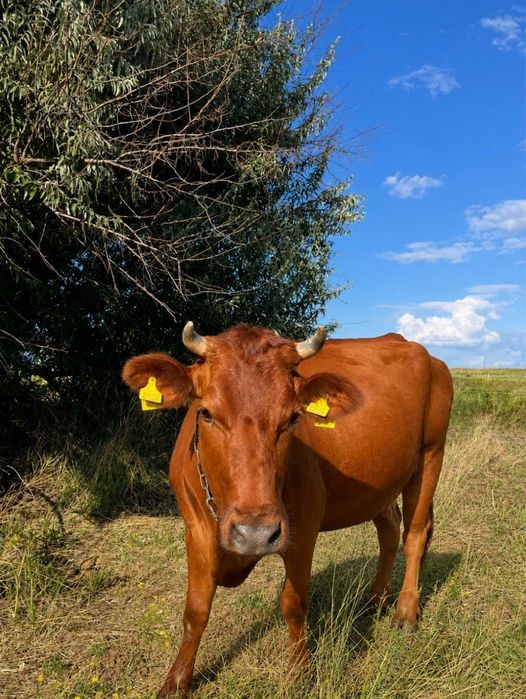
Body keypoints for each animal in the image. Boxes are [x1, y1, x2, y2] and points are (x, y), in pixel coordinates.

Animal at [122, 322, 453, 697]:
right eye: (205, 413)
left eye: (293, 417)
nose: (255, 534)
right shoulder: (195, 529)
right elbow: (196, 609)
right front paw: (177, 680)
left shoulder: (303, 531)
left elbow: (293, 603)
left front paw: (301, 671)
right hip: (382, 482)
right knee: (390, 530)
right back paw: (377, 599)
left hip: (431, 455)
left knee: (415, 535)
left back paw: (406, 611)